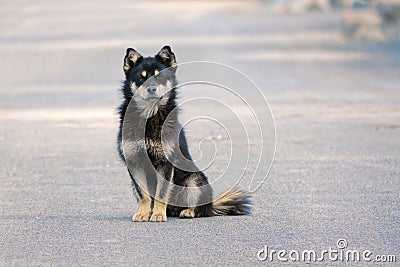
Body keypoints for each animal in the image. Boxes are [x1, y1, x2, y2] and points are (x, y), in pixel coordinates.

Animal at [115, 45, 250, 222]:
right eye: (141, 77)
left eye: (160, 76)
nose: (151, 89)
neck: (150, 116)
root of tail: (212, 205)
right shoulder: (134, 162)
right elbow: (143, 194)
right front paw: (143, 213)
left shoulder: (165, 162)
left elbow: (161, 192)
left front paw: (158, 214)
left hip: (195, 179)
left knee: (199, 208)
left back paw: (187, 212)